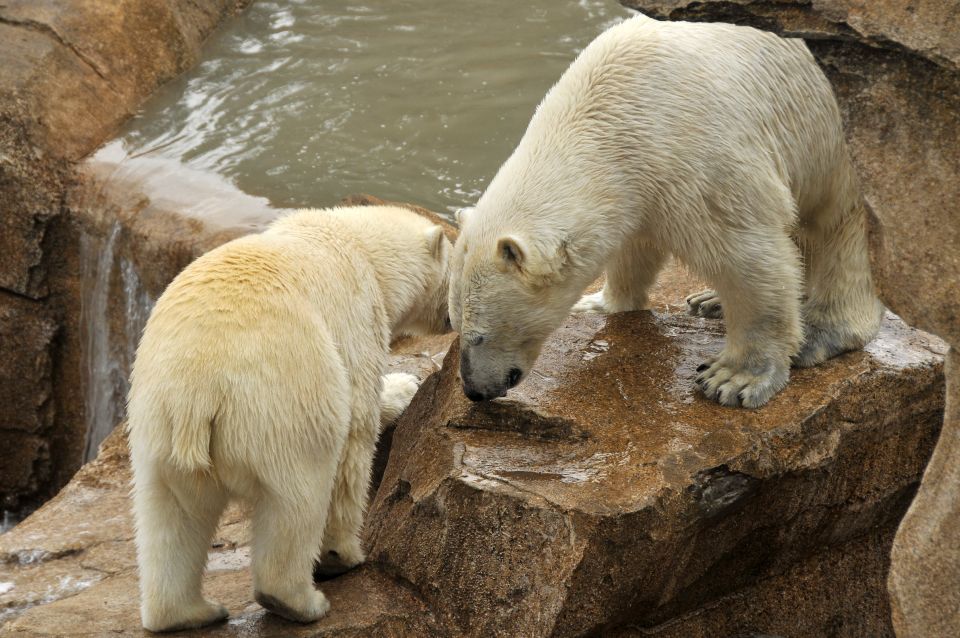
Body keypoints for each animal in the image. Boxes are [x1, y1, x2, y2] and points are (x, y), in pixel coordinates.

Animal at [126, 204, 450, 632]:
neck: (360, 245)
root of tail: (199, 387)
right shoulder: (358, 316)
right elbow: (356, 427)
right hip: (285, 404)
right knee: (298, 498)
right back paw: (300, 600)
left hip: (155, 421)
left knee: (168, 515)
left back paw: (189, 612)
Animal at [446, 13, 880, 410]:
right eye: (454, 324)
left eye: (481, 333)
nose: (474, 390)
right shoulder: (643, 179)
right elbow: (633, 245)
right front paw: (599, 303)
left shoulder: (701, 158)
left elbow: (749, 259)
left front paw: (733, 378)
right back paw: (709, 300)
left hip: (842, 142)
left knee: (842, 226)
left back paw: (822, 330)